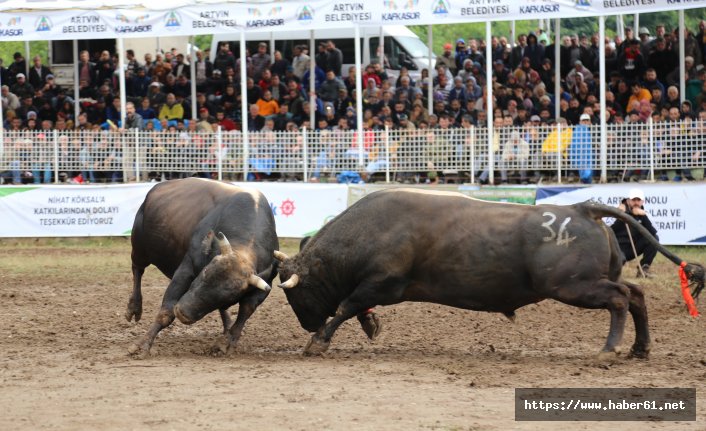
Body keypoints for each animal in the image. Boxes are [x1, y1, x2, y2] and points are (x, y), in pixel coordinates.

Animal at [276, 189, 704, 358]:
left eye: (296, 293)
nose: (306, 323)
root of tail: (582, 208)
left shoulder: (383, 283)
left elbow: (345, 306)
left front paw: (318, 341)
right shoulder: (375, 287)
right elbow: (355, 307)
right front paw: (368, 325)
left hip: (573, 287)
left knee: (620, 299)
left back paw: (610, 348)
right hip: (592, 280)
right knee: (635, 295)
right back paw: (639, 348)